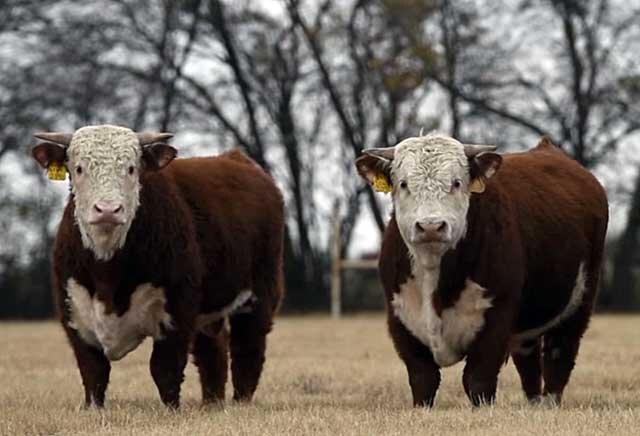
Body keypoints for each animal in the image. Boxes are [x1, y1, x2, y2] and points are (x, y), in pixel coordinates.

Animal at [31, 124, 284, 408]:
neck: (108, 271)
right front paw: (94, 408)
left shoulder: (178, 310)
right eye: (78, 168)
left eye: (132, 168)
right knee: (212, 350)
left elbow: (164, 369)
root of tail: (236, 159)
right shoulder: (74, 313)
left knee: (247, 349)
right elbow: (93, 371)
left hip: (260, 293)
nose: (107, 209)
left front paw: (171, 409)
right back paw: (212, 403)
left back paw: (241, 402)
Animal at [358, 135, 608, 408]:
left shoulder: (497, 317)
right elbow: (423, 379)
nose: (431, 226)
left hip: (580, 301)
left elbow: (478, 379)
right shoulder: (400, 318)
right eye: (403, 184)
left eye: (456, 182)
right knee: (529, 364)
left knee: (559, 356)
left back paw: (549, 403)